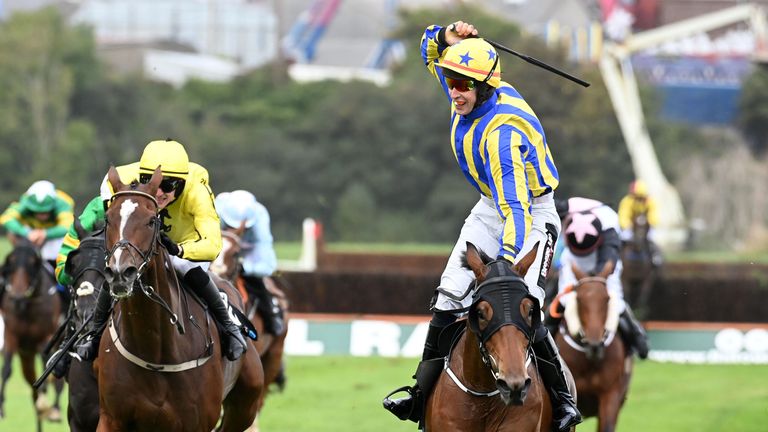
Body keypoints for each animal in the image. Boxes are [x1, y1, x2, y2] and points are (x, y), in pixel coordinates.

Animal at [0, 238, 64, 430]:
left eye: (31, 264)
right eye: (11, 263)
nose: (17, 298)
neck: (27, 306)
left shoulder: (45, 339)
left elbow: (48, 369)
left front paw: (48, 405)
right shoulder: (11, 335)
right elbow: (6, 369)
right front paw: (2, 407)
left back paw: (54, 409)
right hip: (26, 358)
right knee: (33, 388)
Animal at [94, 167, 264, 430]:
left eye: (151, 220)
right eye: (108, 219)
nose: (121, 272)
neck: (153, 347)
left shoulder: (198, 422)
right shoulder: (111, 418)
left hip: (245, 406)